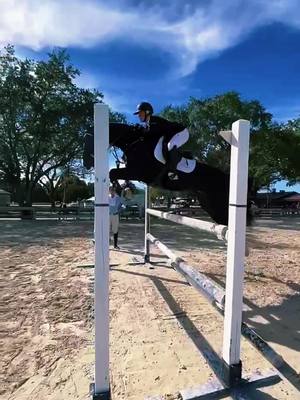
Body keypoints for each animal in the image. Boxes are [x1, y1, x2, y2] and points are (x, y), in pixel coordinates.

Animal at [83, 122, 243, 225]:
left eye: (89, 140)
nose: (86, 164)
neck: (135, 143)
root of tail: (225, 177)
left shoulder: (136, 172)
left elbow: (113, 172)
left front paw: (121, 189)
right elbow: (113, 173)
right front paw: (121, 189)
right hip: (209, 203)